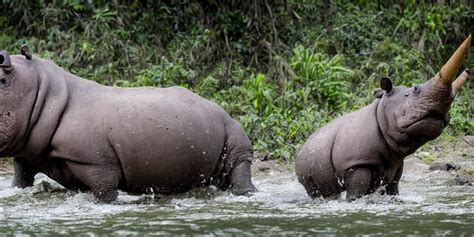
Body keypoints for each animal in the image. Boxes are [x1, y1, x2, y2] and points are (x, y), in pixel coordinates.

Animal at [0, 45, 256, 201]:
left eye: (3, 81)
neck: (42, 92)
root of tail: (223, 110)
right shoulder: (27, 152)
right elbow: (20, 180)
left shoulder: (98, 164)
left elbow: (105, 192)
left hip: (230, 125)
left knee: (239, 159)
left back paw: (245, 194)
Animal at [296, 36, 470, 201]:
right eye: (408, 94)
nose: (438, 114)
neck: (381, 112)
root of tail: (304, 145)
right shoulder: (356, 163)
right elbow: (355, 193)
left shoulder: (396, 162)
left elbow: (393, 188)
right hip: (305, 163)